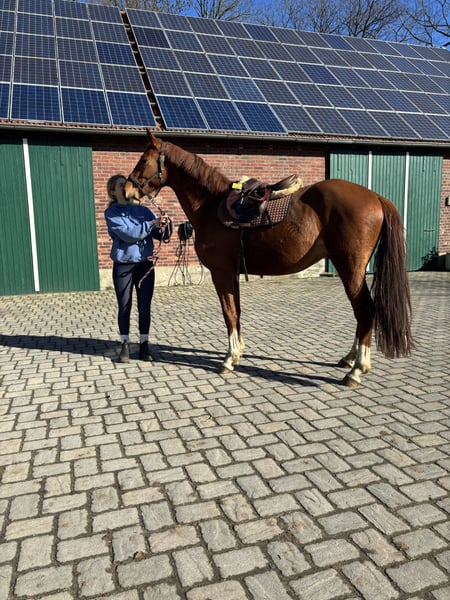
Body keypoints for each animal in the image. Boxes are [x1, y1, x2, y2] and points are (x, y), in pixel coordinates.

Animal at [124, 130, 413, 387]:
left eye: (143, 160)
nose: (127, 191)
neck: (210, 206)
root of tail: (376, 197)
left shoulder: (221, 273)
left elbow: (228, 313)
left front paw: (229, 359)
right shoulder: (232, 274)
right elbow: (236, 312)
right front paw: (238, 352)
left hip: (350, 269)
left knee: (365, 310)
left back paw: (357, 370)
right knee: (362, 313)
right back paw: (350, 359)